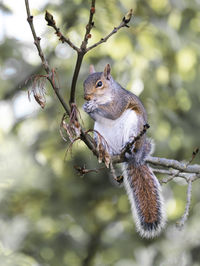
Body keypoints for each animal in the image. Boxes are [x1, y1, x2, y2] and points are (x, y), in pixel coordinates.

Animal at [83, 63, 166, 238]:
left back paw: (129, 144)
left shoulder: (120, 102)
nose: (86, 97)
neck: (105, 96)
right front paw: (86, 107)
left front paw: (93, 106)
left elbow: (113, 111)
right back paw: (101, 149)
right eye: (83, 83)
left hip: (134, 123)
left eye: (99, 84)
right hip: (99, 132)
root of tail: (133, 157)